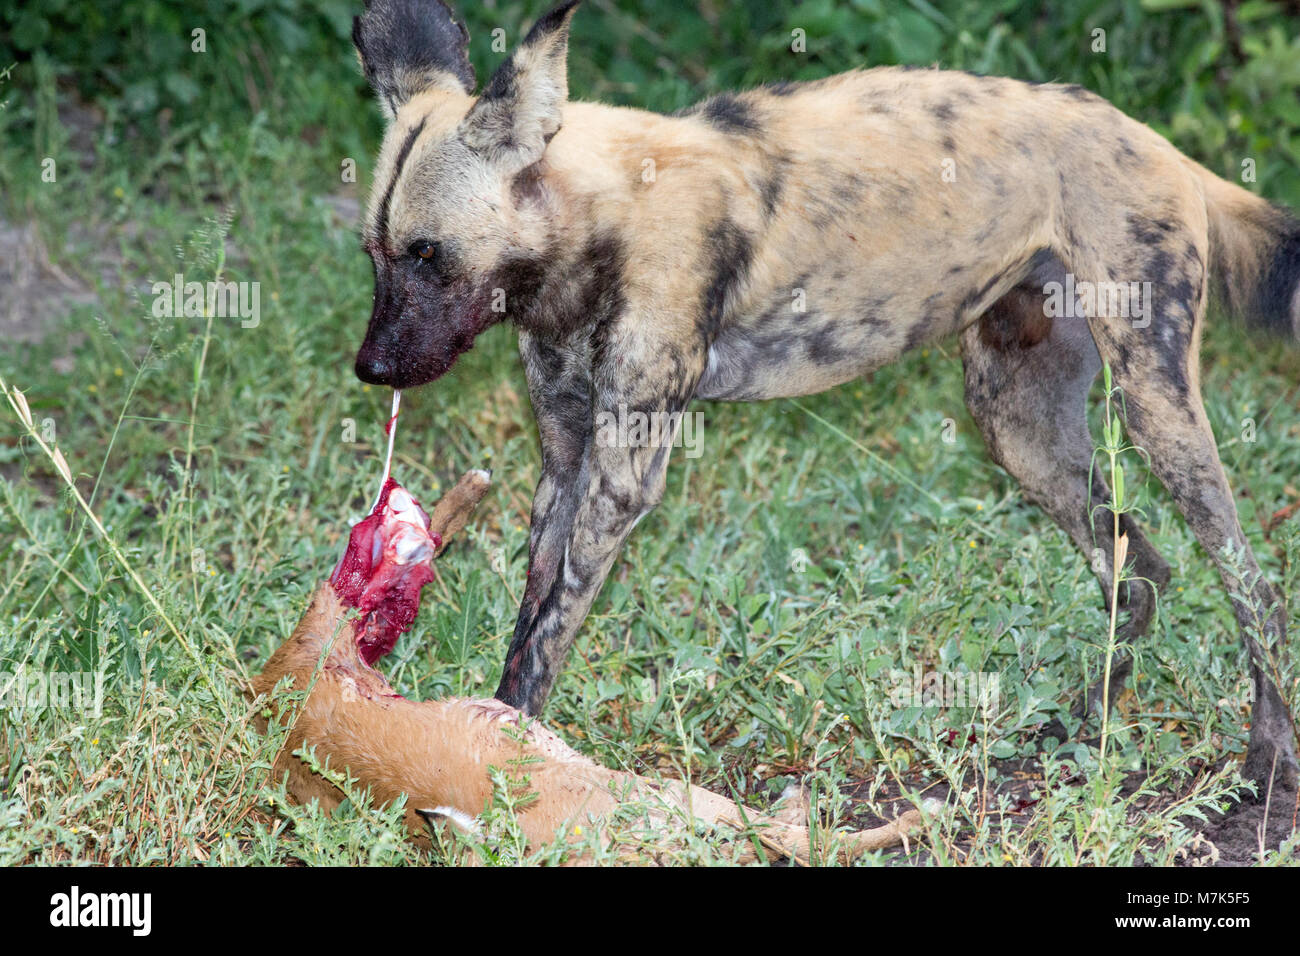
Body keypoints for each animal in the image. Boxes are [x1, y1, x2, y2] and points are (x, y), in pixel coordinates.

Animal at [351, 0, 1300, 790]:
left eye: (429, 254)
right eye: (375, 253)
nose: (370, 369)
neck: (597, 219)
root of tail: (1161, 144)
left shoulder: (620, 477)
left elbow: (551, 629)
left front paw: (512, 753)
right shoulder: (564, 460)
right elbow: (529, 623)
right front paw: (496, 732)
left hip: (1154, 406)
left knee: (1253, 584)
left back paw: (1266, 760)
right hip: (1018, 427)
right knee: (1140, 570)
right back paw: (1086, 728)